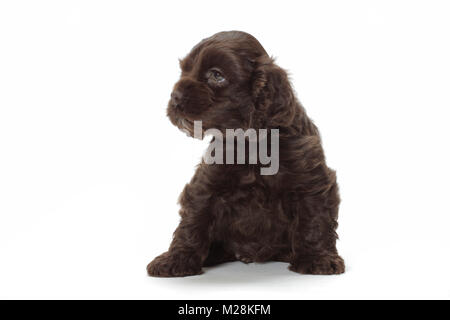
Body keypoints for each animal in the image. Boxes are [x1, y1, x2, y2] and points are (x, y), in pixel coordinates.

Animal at [148, 30, 344, 278]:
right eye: (185, 70)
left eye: (217, 75)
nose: (175, 96)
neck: (251, 144)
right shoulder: (206, 184)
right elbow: (192, 222)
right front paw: (175, 260)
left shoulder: (310, 180)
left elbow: (314, 220)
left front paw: (318, 258)